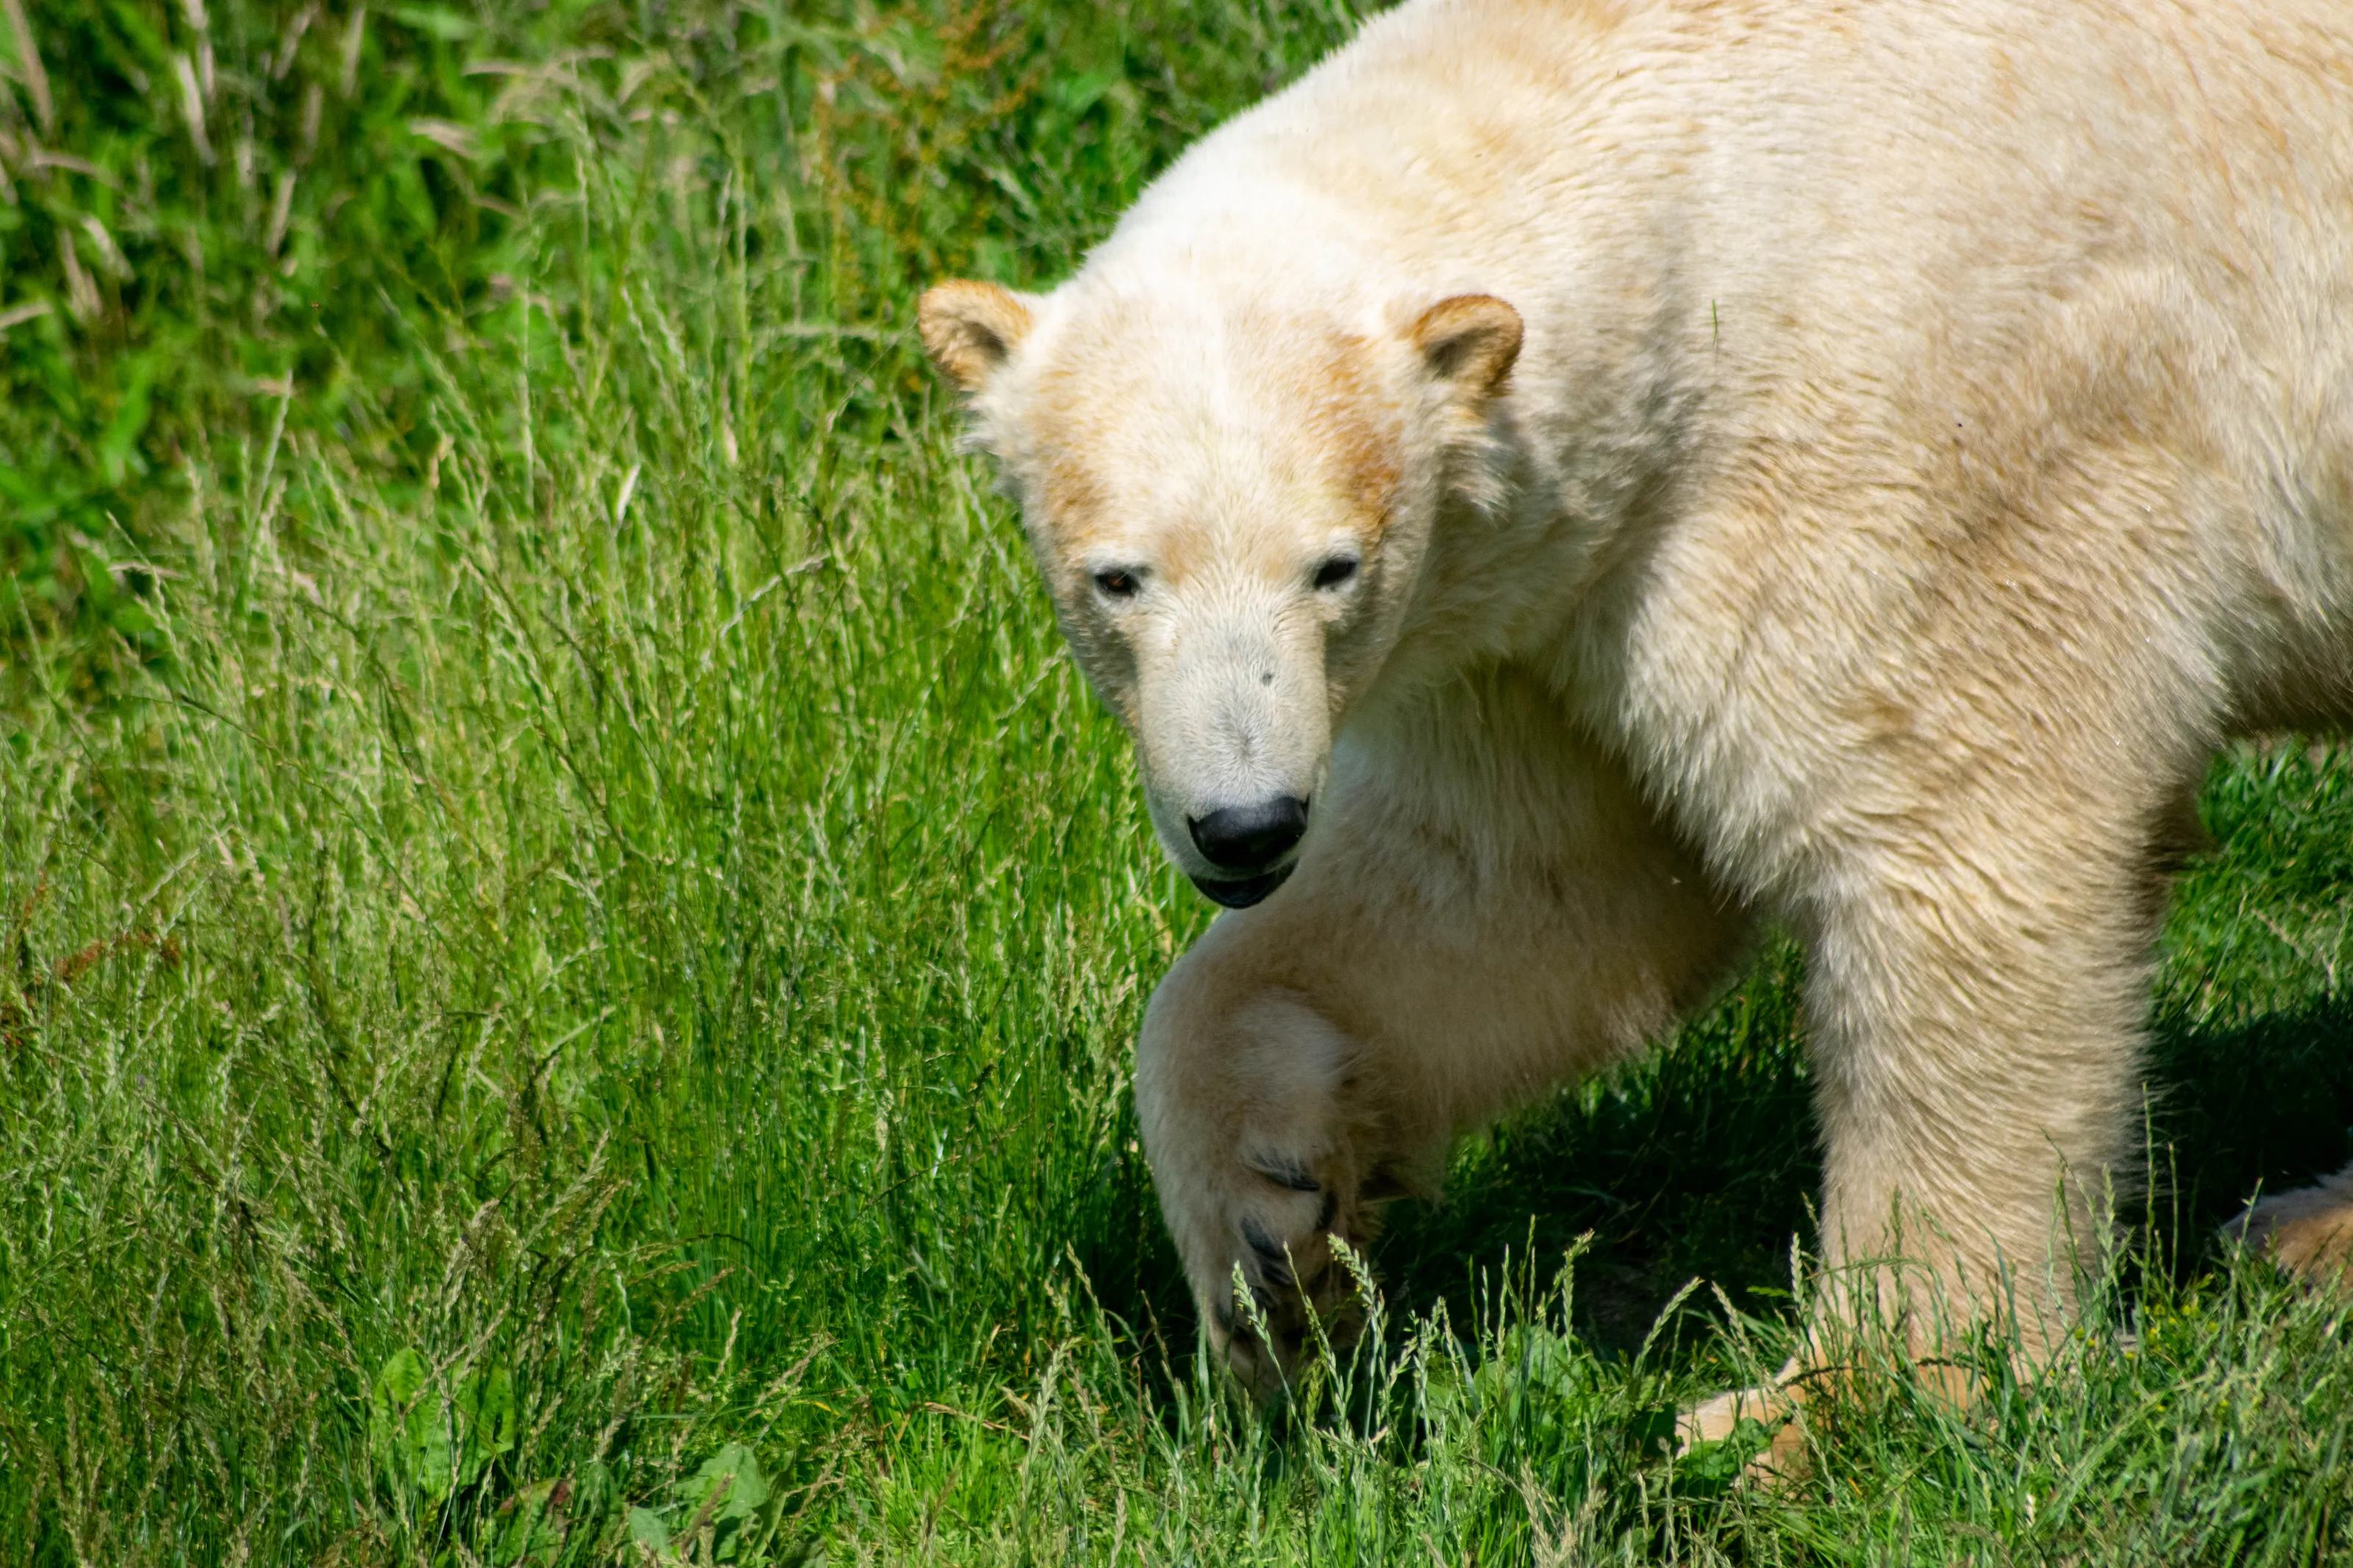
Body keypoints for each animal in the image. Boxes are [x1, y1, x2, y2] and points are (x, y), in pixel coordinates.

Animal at [918, 0, 2353, 1433]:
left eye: (1333, 567)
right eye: (1117, 577)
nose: (1248, 826)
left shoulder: (1923, 448)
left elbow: (1961, 843)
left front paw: (1834, 1404)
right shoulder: (1546, 603)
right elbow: (1527, 890)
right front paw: (1273, 1257)